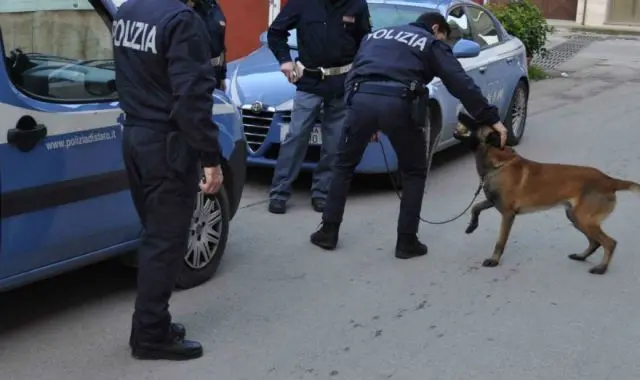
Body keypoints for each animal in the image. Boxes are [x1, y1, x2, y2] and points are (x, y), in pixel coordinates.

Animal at [456, 112, 640, 274]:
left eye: (477, 122)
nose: (459, 113)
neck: (498, 164)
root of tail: (609, 180)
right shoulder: (493, 201)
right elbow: (475, 207)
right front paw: (472, 226)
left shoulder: (508, 214)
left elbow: (500, 241)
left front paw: (494, 260)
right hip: (575, 217)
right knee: (595, 242)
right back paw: (581, 256)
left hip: (584, 219)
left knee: (609, 243)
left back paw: (601, 268)